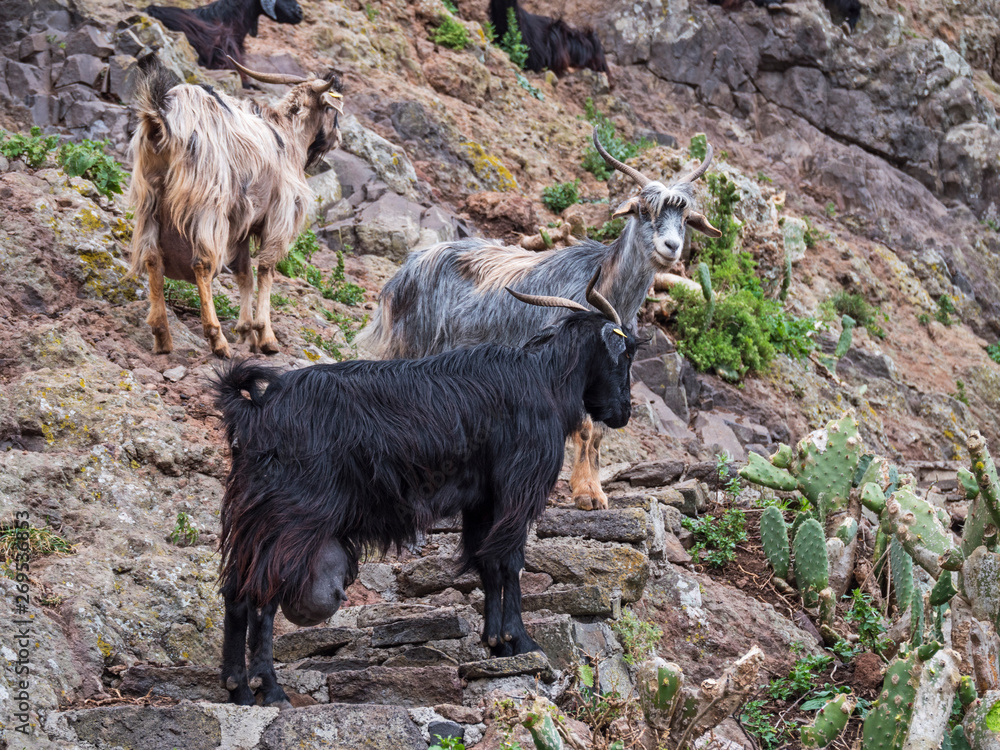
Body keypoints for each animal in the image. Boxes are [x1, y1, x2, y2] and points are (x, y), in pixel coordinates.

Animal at [127, 59, 343, 359]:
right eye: (333, 111)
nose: (339, 137)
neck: (287, 135)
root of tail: (161, 117)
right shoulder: (279, 215)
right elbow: (265, 270)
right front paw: (265, 335)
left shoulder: (242, 225)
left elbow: (244, 275)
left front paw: (246, 332)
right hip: (207, 201)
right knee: (202, 264)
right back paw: (217, 339)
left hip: (149, 201)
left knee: (151, 258)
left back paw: (162, 337)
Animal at [213, 275, 636, 706]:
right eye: (627, 352)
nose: (624, 411)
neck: (545, 379)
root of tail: (256, 407)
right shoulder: (518, 489)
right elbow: (509, 561)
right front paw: (520, 641)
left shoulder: (483, 501)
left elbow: (487, 563)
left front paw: (496, 643)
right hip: (293, 515)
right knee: (262, 593)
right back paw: (270, 688)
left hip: (255, 515)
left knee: (236, 591)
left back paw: (238, 688)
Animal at [356, 128, 719, 511]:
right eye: (645, 209)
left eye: (686, 218)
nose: (671, 247)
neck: (604, 286)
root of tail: (405, 270)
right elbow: (585, 426)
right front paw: (585, 493)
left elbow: (598, 431)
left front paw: (594, 490)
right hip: (411, 344)